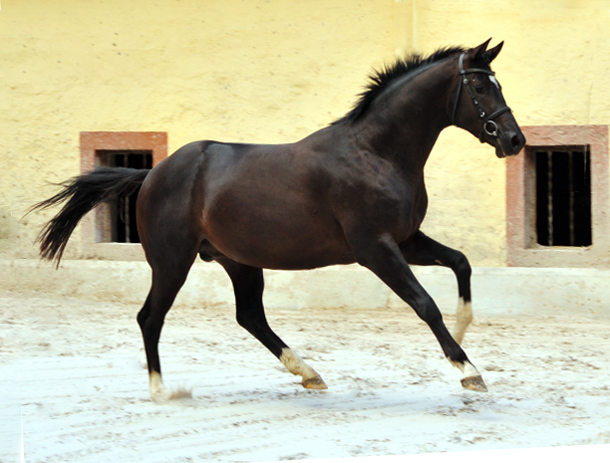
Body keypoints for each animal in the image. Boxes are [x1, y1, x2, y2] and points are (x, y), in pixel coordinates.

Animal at [30, 40, 524, 402]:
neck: (376, 152)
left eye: (499, 84)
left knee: (250, 316)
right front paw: (468, 370)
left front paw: (463, 331)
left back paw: (309, 374)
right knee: (150, 317)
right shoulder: (375, 249)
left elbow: (460, 263)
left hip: (238, 261)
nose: (515, 140)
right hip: (172, 261)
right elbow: (424, 304)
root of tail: (152, 173)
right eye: (481, 89)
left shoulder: (405, 240)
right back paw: (161, 390)